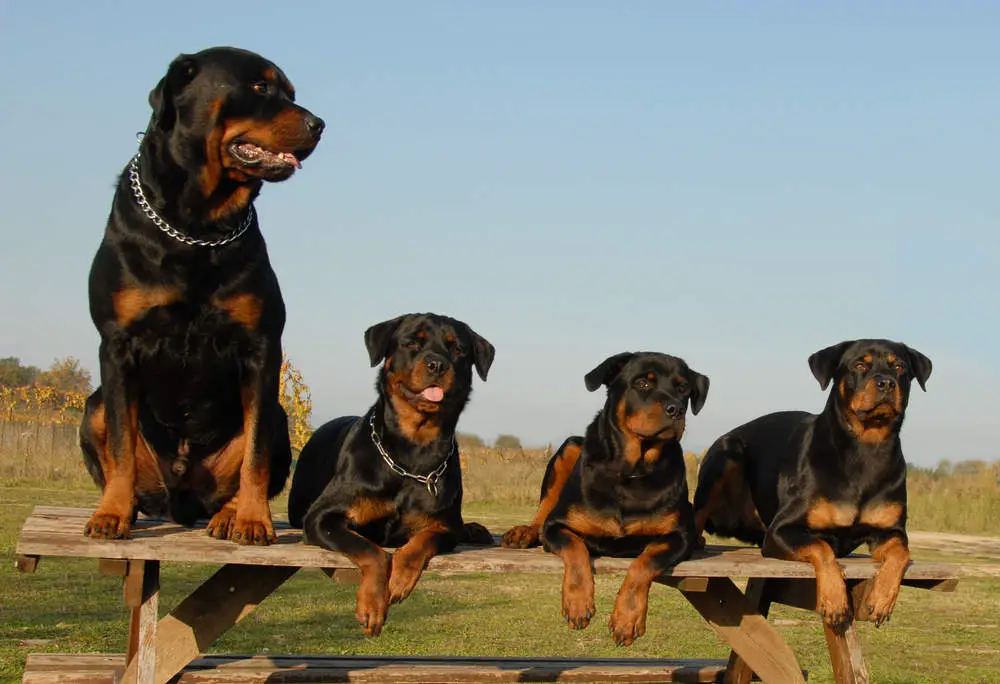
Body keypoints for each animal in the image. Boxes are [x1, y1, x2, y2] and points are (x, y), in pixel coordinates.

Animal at [83, 45, 324, 544]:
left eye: (291, 94)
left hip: (279, 417)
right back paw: (126, 506)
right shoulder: (116, 344)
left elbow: (255, 453)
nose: (319, 124)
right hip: (92, 406)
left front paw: (252, 519)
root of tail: (181, 502)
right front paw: (111, 513)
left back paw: (230, 514)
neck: (197, 226)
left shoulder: (260, 347)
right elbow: (120, 442)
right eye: (260, 87)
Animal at [288, 312, 494, 640]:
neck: (412, 454)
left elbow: (423, 540)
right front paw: (373, 604)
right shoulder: (321, 518)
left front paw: (398, 579)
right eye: (412, 342)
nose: (437, 364)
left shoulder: (444, 526)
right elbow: (371, 551)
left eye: (457, 348)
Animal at [504, 352, 708, 648]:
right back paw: (524, 532)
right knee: (543, 511)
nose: (676, 409)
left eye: (683, 388)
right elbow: (575, 546)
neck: (633, 469)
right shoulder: (558, 525)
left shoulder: (678, 535)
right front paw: (578, 602)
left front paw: (627, 618)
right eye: (643, 383)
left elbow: (645, 561)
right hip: (570, 447)